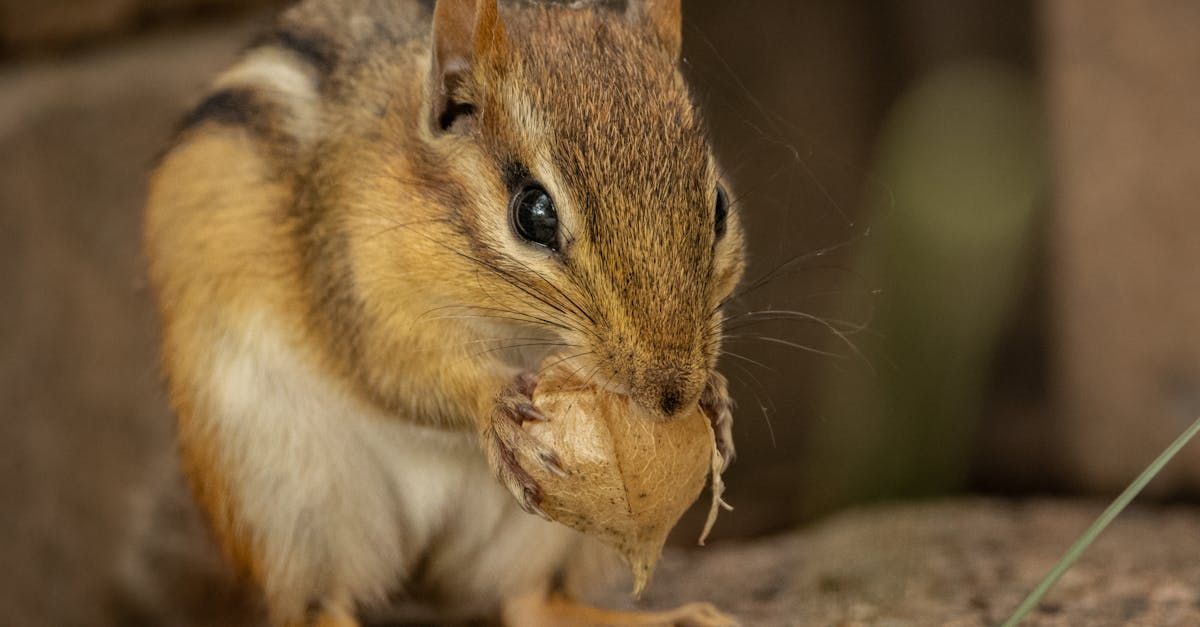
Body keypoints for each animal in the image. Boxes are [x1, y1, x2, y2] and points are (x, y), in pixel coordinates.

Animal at [143, 0, 746, 624]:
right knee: (316, 603)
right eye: (533, 214)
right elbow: (396, 370)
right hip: (283, 492)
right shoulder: (356, 284)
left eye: (719, 206)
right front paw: (494, 402)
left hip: (539, 534)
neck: (509, 326)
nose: (672, 395)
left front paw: (717, 400)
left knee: (531, 599)